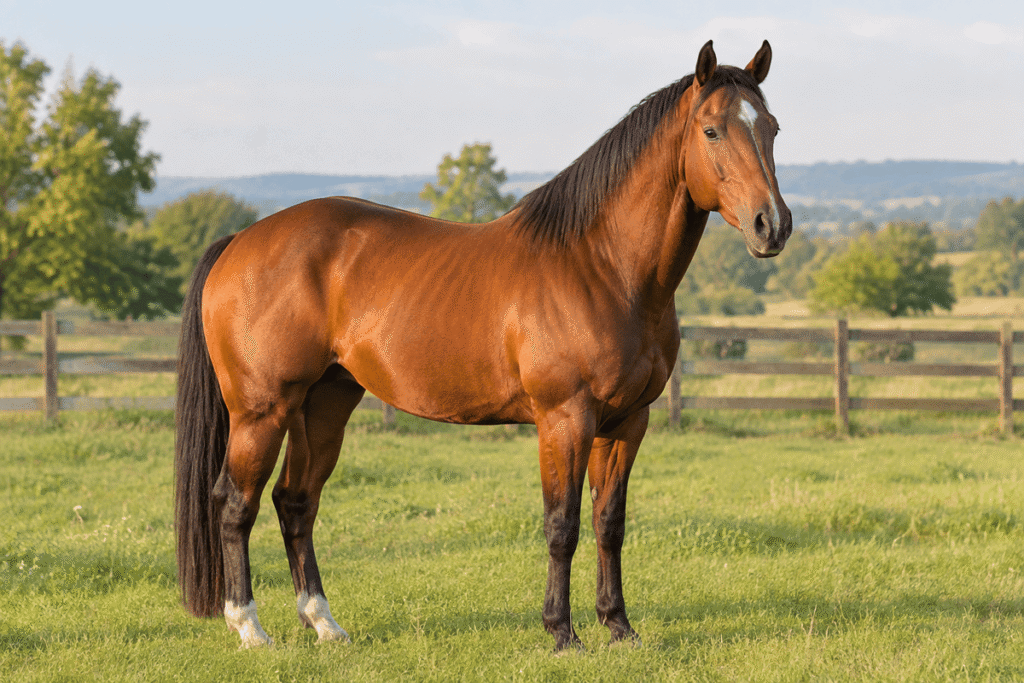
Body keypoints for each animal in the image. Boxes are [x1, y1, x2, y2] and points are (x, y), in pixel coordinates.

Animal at [175, 39, 791, 651]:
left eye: (772, 127)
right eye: (711, 131)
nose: (772, 225)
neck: (603, 267)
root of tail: (242, 240)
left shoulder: (627, 422)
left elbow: (609, 523)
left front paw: (618, 626)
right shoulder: (564, 419)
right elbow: (562, 524)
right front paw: (561, 632)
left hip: (323, 404)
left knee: (295, 502)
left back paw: (324, 622)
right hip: (262, 410)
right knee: (235, 503)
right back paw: (249, 627)